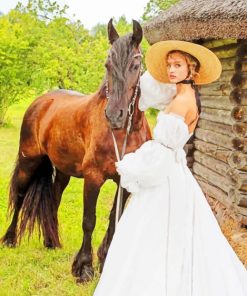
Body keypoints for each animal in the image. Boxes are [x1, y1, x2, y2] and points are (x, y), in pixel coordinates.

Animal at [0, 18, 151, 282]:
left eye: (136, 64)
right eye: (107, 64)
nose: (115, 116)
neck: (125, 134)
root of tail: (42, 101)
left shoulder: (126, 181)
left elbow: (114, 219)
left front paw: (104, 261)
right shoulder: (93, 178)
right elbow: (89, 220)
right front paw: (83, 268)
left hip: (62, 171)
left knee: (53, 199)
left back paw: (51, 241)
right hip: (29, 161)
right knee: (19, 195)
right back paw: (10, 239)